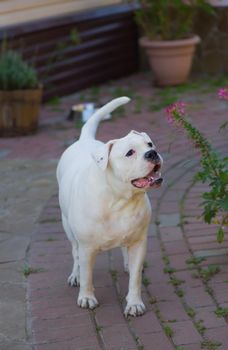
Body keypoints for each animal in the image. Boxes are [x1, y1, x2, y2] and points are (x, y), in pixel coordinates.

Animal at [58, 96, 163, 318]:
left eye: (149, 144)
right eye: (130, 153)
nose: (152, 153)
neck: (119, 199)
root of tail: (84, 139)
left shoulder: (139, 242)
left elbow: (135, 280)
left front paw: (134, 303)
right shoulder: (87, 247)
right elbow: (87, 274)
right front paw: (86, 297)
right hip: (68, 227)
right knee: (74, 253)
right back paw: (75, 275)